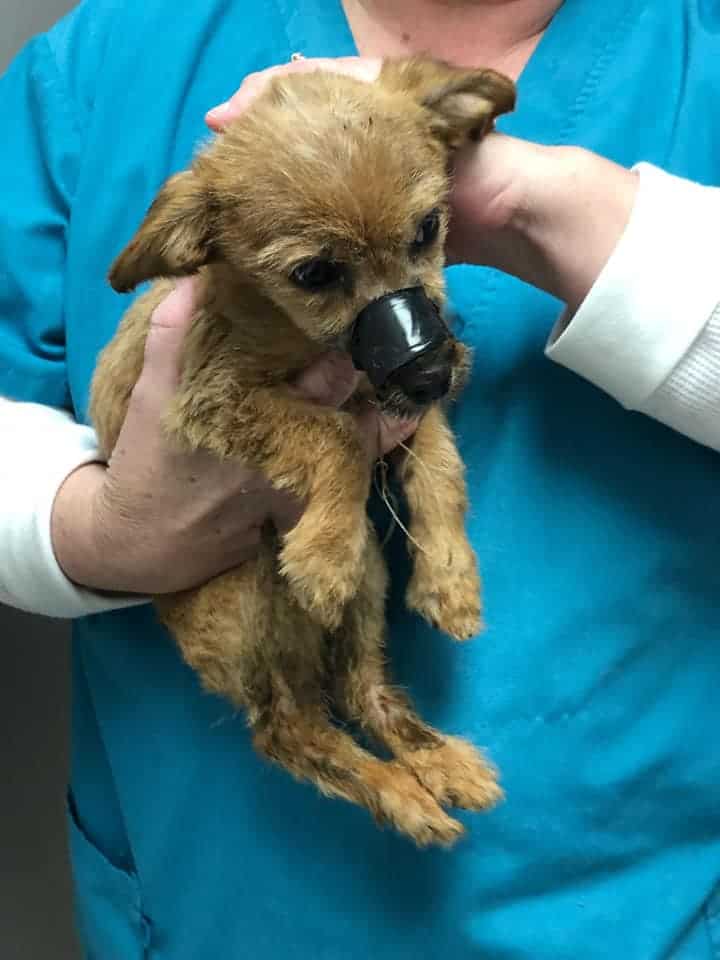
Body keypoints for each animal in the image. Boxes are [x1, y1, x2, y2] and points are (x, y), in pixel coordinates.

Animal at [90, 56, 516, 844]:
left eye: (428, 228)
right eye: (314, 274)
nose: (433, 372)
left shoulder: (397, 400)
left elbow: (441, 467)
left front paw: (450, 576)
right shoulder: (214, 399)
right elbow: (336, 437)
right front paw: (323, 551)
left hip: (369, 586)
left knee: (360, 688)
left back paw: (437, 765)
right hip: (255, 600)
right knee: (290, 731)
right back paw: (400, 795)